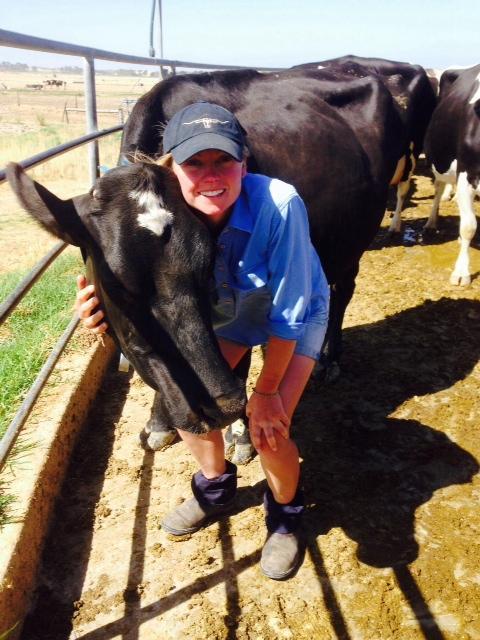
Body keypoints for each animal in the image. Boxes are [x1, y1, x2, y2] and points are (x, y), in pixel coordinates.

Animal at [116, 67, 404, 450]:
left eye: (202, 262)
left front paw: (240, 433)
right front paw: (160, 422)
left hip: (357, 238)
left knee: (342, 293)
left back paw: (329, 358)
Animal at [424, 64, 480, 284]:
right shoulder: (466, 174)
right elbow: (468, 226)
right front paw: (462, 272)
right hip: (438, 160)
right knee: (439, 190)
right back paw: (431, 223)